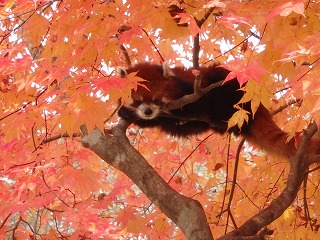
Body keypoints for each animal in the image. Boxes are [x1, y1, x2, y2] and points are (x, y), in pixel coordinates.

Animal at [117, 62, 298, 158]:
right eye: (138, 101)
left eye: (156, 99)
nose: (148, 111)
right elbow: (153, 122)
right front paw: (125, 112)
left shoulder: (191, 91)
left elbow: (194, 105)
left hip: (231, 85)